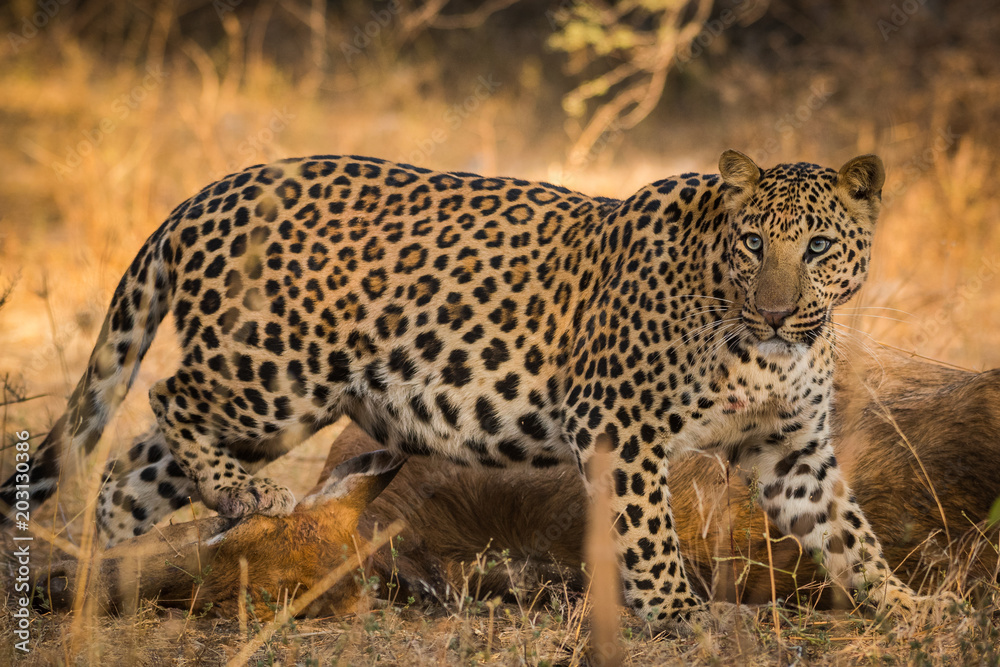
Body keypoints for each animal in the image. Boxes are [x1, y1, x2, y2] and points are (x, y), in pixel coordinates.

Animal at [1, 149, 922, 631]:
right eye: (755, 242)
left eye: (818, 247)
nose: (775, 311)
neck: (768, 349)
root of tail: (205, 194)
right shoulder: (616, 423)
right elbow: (648, 533)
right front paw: (676, 616)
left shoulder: (792, 452)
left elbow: (849, 531)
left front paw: (905, 607)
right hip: (272, 371)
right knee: (167, 402)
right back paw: (242, 500)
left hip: (264, 403)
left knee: (131, 471)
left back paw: (102, 583)